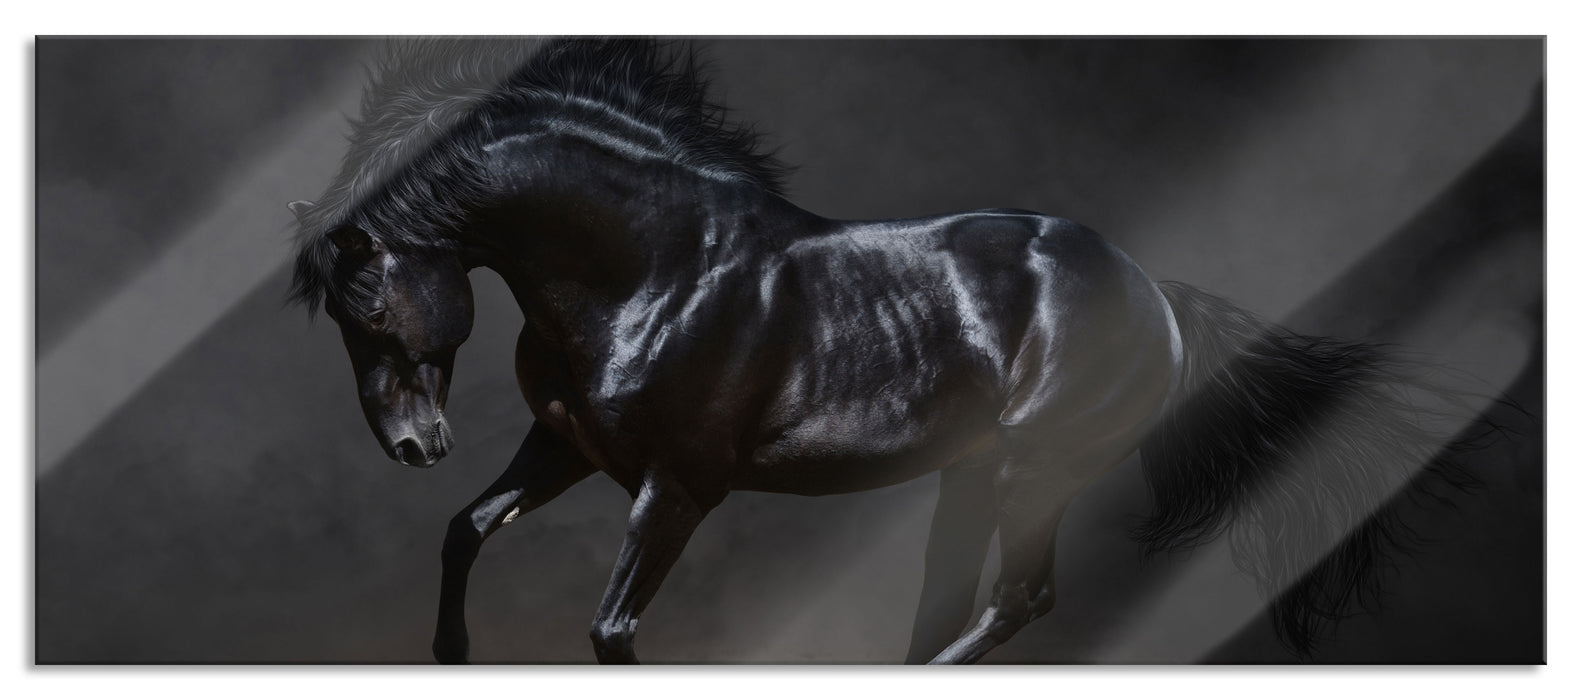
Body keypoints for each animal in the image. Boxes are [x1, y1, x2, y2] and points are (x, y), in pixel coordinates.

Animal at [287, 39, 1478, 664]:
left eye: (371, 306)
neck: (653, 270)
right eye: (341, 321)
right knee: (959, 602)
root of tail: (1157, 296)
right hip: (973, 476)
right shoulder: (568, 447)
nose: (411, 445)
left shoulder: (678, 487)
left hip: (1034, 468)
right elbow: (465, 529)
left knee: (1015, 603)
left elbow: (612, 628)